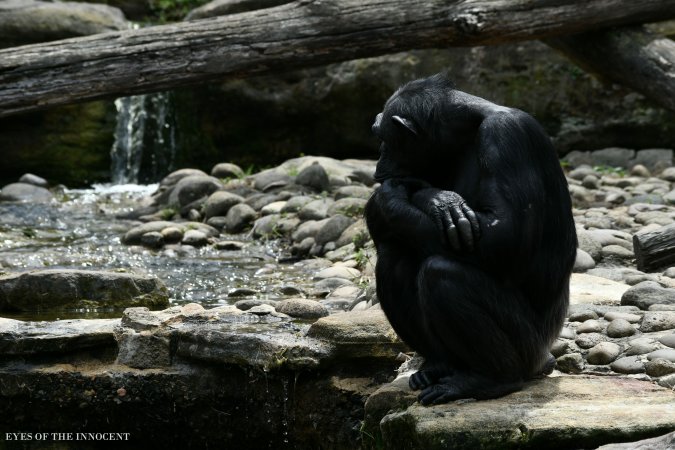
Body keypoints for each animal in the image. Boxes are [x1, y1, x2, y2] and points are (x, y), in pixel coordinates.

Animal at [368, 74, 580, 404]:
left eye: (384, 139)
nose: (378, 161)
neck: (462, 135)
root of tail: (546, 358)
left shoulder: (508, 136)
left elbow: (505, 235)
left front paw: (398, 198)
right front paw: (438, 199)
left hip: (529, 348)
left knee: (443, 274)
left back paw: (490, 379)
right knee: (394, 257)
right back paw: (438, 366)